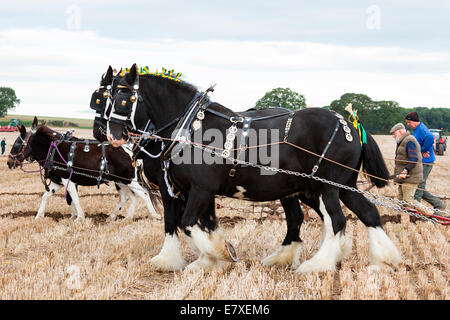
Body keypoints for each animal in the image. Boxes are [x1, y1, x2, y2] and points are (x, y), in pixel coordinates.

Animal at [8, 119, 160, 221]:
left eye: (17, 143)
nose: (9, 162)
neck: (53, 149)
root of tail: (132, 151)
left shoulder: (67, 179)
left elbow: (74, 198)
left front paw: (79, 217)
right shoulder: (58, 181)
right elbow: (47, 196)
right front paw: (40, 216)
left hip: (129, 180)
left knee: (144, 194)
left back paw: (155, 215)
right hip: (121, 181)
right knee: (129, 197)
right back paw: (120, 217)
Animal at [106, 65, 400, 272]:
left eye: (126, 99)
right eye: (106, 98)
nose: (113, 134)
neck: (191, 126)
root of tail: (350, 123)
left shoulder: (199, 190)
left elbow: (188, 223)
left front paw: (217, 255)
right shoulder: (187, 192)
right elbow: (190, 224)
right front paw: (198, 258)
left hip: (327, 187)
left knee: (336, 221)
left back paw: (317, 265)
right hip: (341, 186)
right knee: (367, 213)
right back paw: (383, 260)